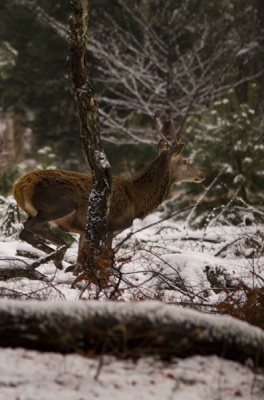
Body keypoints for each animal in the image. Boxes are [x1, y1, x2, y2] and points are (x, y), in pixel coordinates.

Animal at [12, 117, 205, 274]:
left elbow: (80, 263)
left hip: (35, 210)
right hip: (59, 204)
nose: (201, 175)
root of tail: (19, 187)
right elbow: (106, 262)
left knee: (25, 233)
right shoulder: (111, 227)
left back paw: (54, 257)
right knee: (32, 226)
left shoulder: (84, 230)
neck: (136, 201)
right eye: (185, 161)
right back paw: (59, 253)